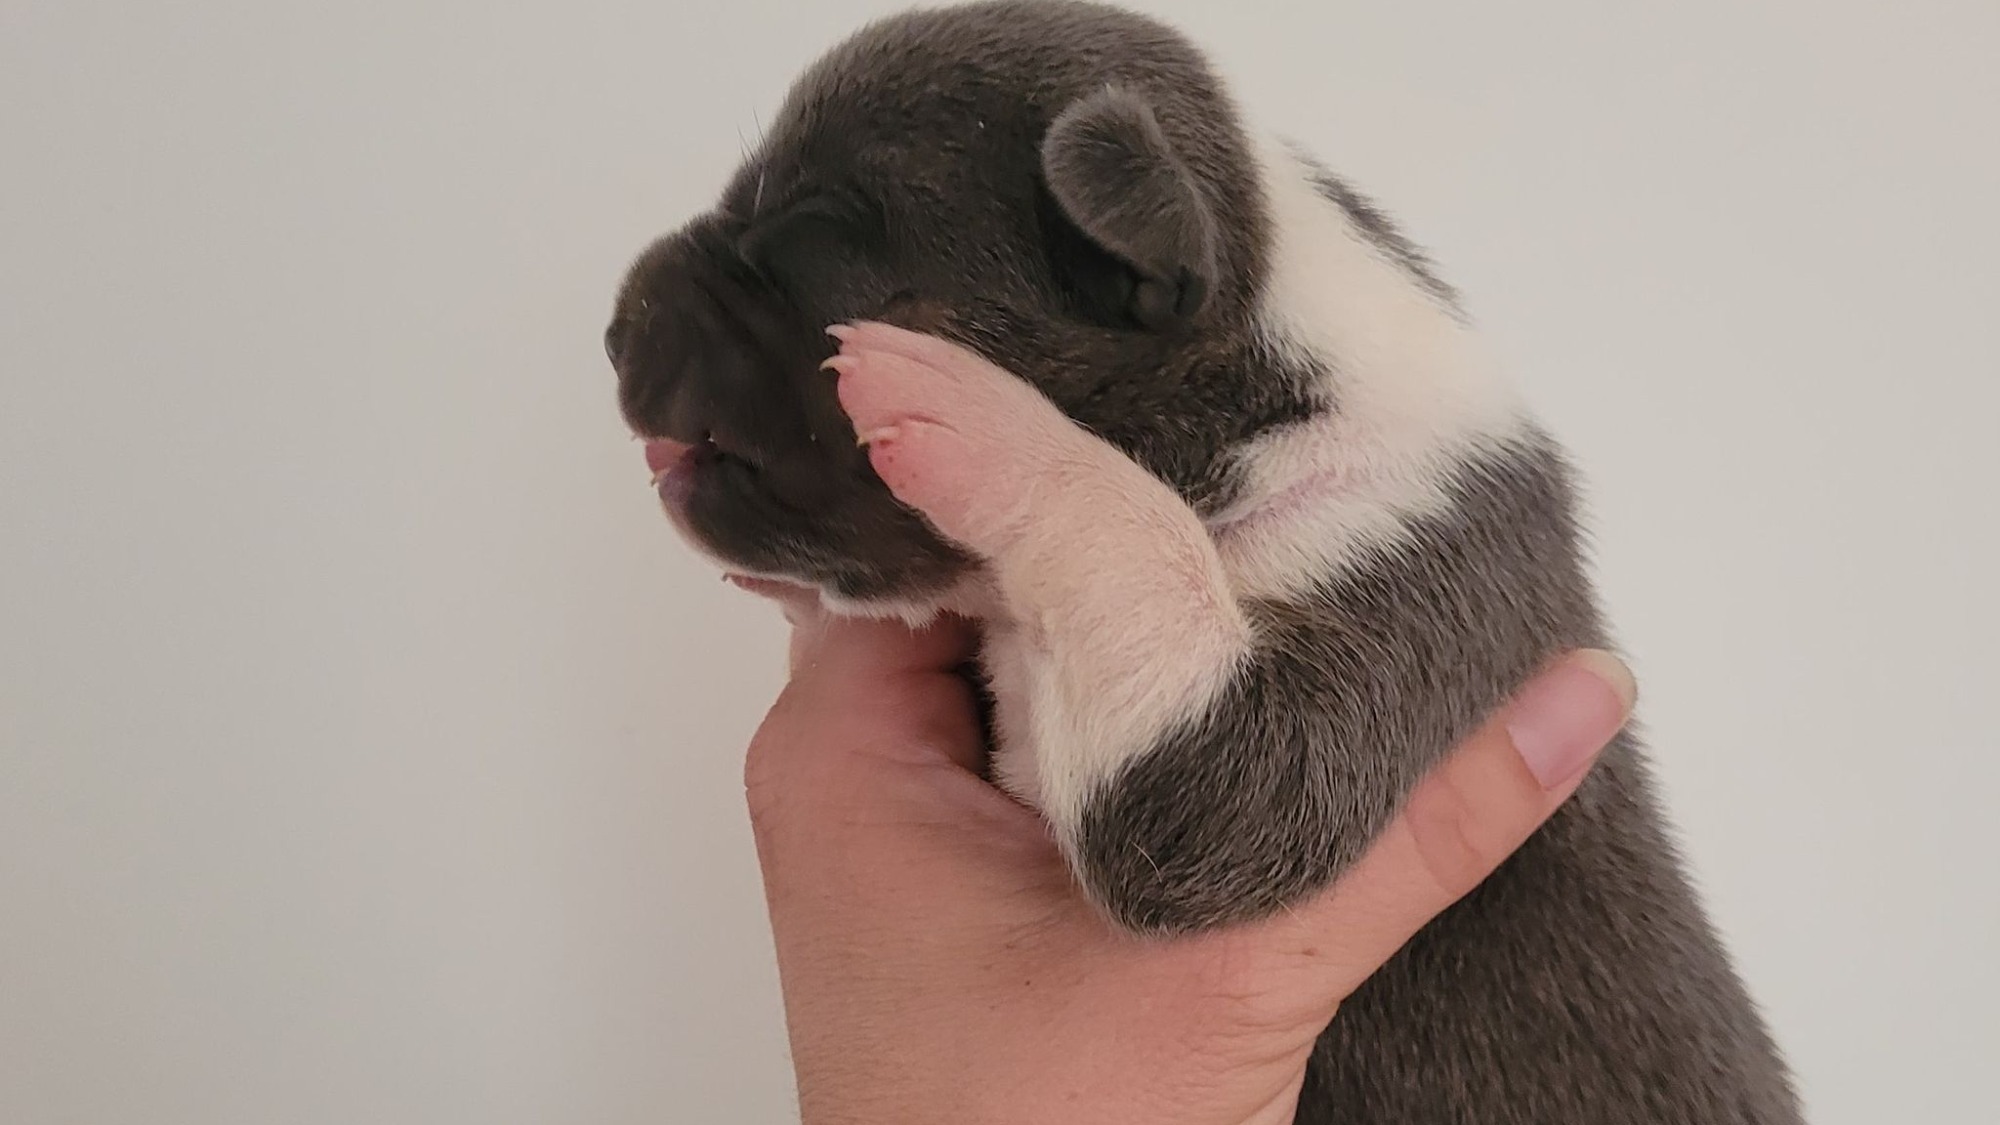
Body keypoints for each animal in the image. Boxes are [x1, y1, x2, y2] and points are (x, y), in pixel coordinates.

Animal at [604, 4, 1800, 1112]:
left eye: (809, 254)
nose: (616, 327)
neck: (1255, 377)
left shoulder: (1371, 634)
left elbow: (1160, 620)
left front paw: (987, 422)